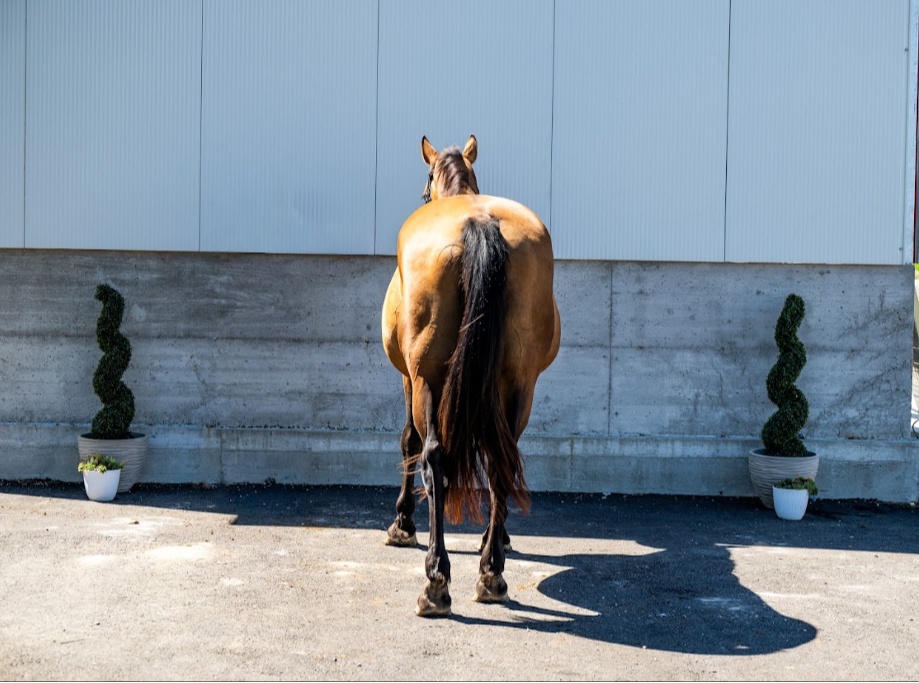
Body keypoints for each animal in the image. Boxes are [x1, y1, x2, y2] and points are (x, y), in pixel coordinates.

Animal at [381, 135, 561, 616]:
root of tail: (479, 224)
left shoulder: (408, 377)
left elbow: (409, 443)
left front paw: (402, 523)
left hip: (427, 378)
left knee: (434, 456)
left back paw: (436, 581)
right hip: (519, 382)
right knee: (502, 461)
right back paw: (491, 572)